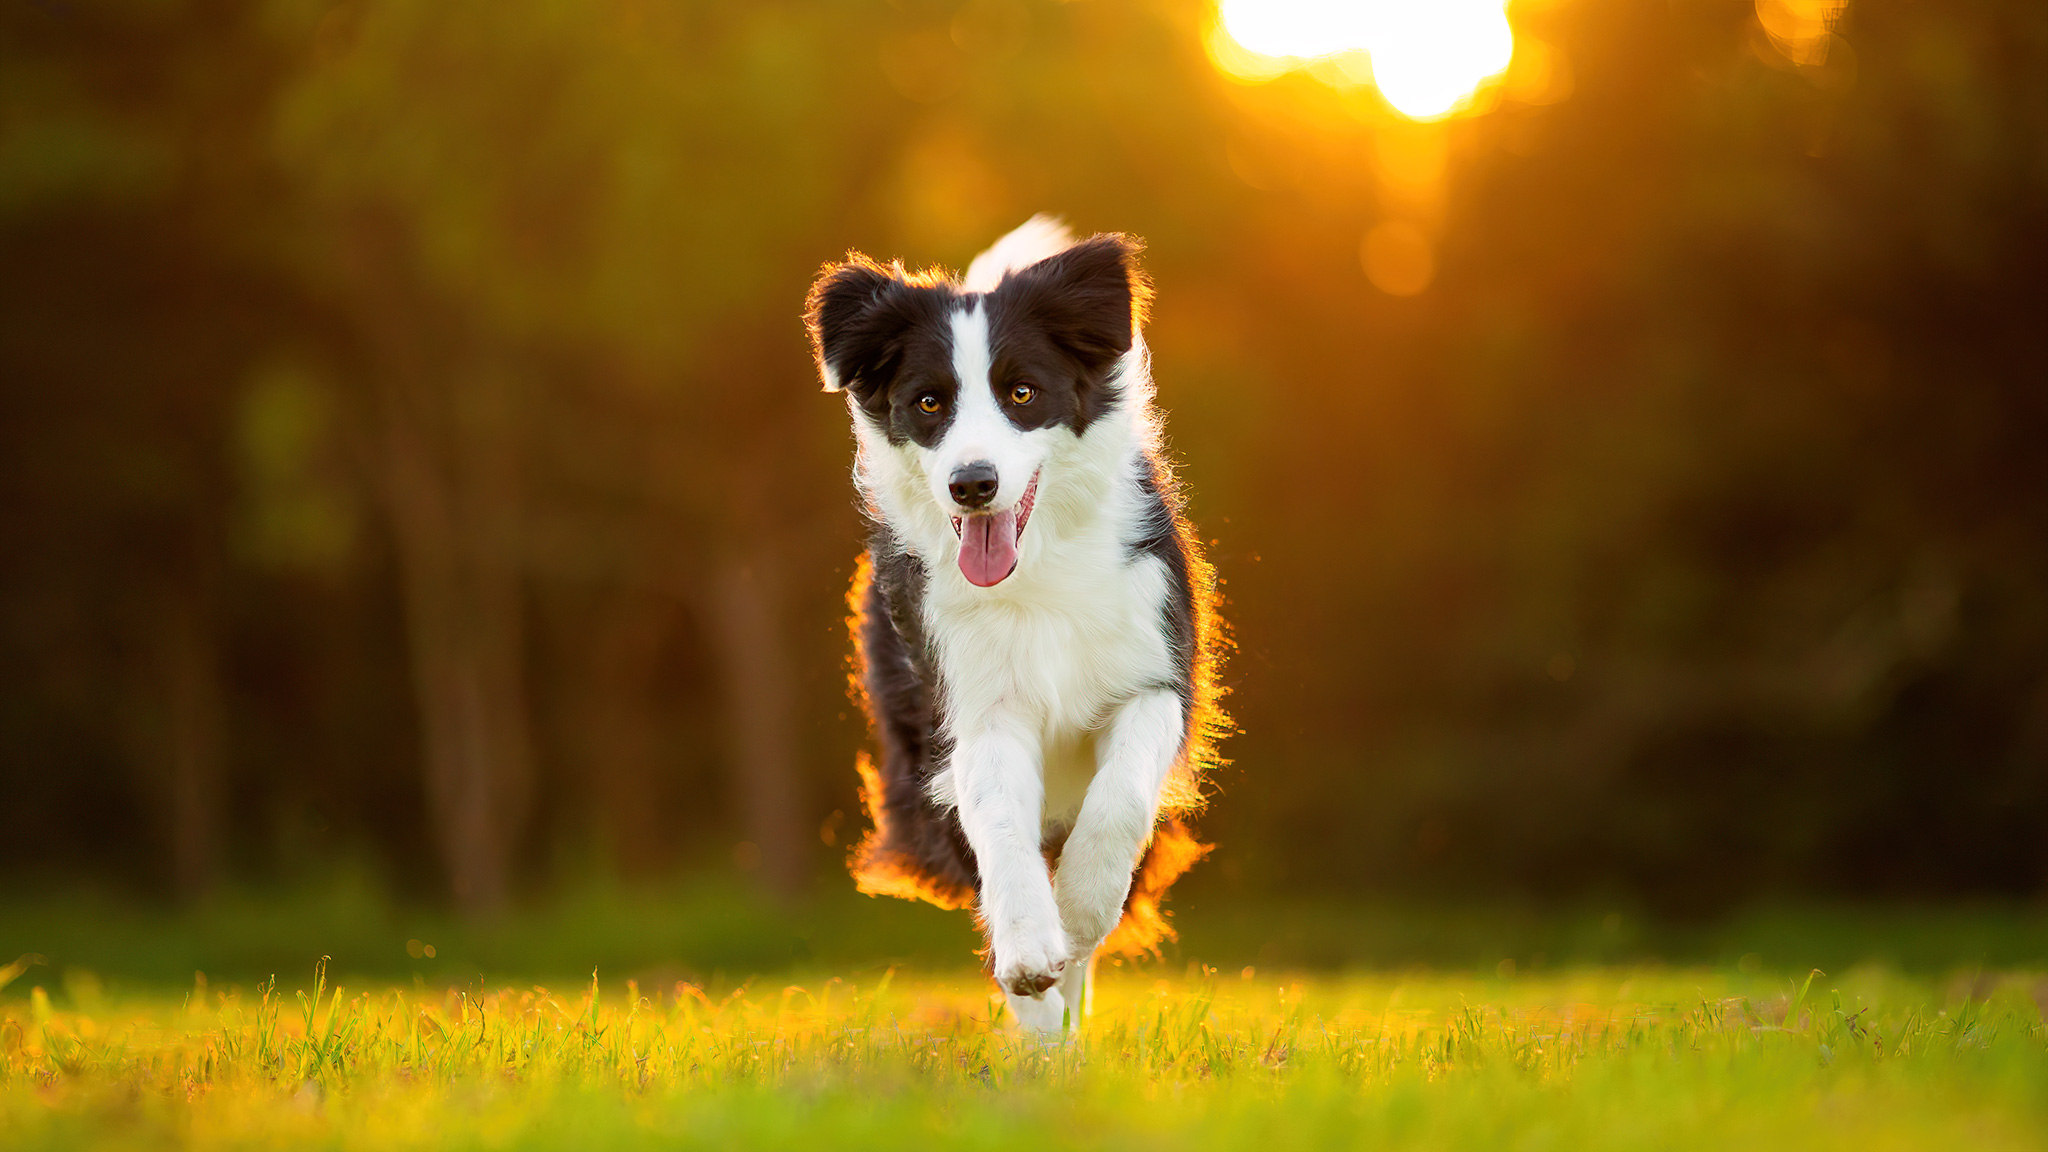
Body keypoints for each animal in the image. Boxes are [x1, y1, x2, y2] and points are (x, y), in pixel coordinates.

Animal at [798, 217, 1212, 1033]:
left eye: (1022, 392)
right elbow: (996, 822)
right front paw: (1029, 956)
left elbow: (1119, 799)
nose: (973, 483)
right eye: (929, 403)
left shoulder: (1153, 675)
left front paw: (1079, 910)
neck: (1038, 569)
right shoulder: (973, 706)